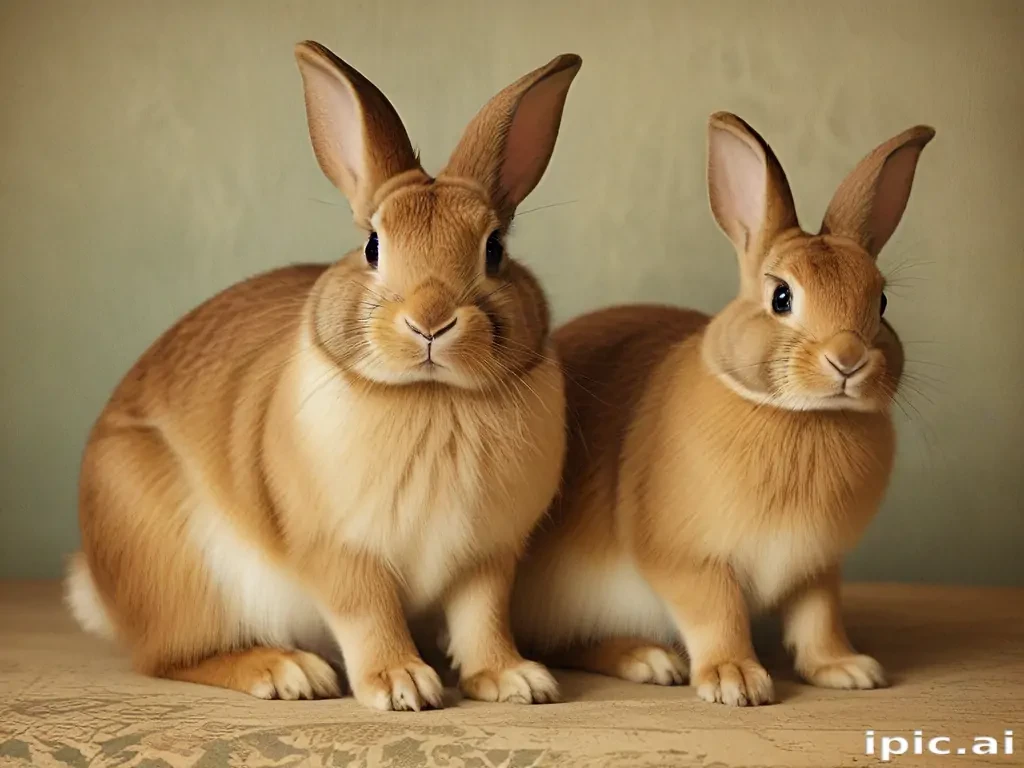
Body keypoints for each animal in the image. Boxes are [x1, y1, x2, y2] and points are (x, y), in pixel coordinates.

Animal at [65, 40, 582, 711]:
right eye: (372, 245)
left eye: (494, 249)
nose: (431, 321)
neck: (432, 396)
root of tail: (101, 590)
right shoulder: (341, 554)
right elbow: (369, 614)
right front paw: (401, 684)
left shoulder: (487, 559)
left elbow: (483, 617)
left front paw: (513, 679)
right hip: (184, 574)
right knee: (171, 657)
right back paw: (286, 670)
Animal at [511, 112, 933, 706]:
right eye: (781, 297)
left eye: (883, 301)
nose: (847, 359)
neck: (802, 415)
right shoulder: (691, 561)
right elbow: (718, 614)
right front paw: (736, 680)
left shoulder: (815, 568)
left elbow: (819, 620)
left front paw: (847, 670)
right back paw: (648, 658)